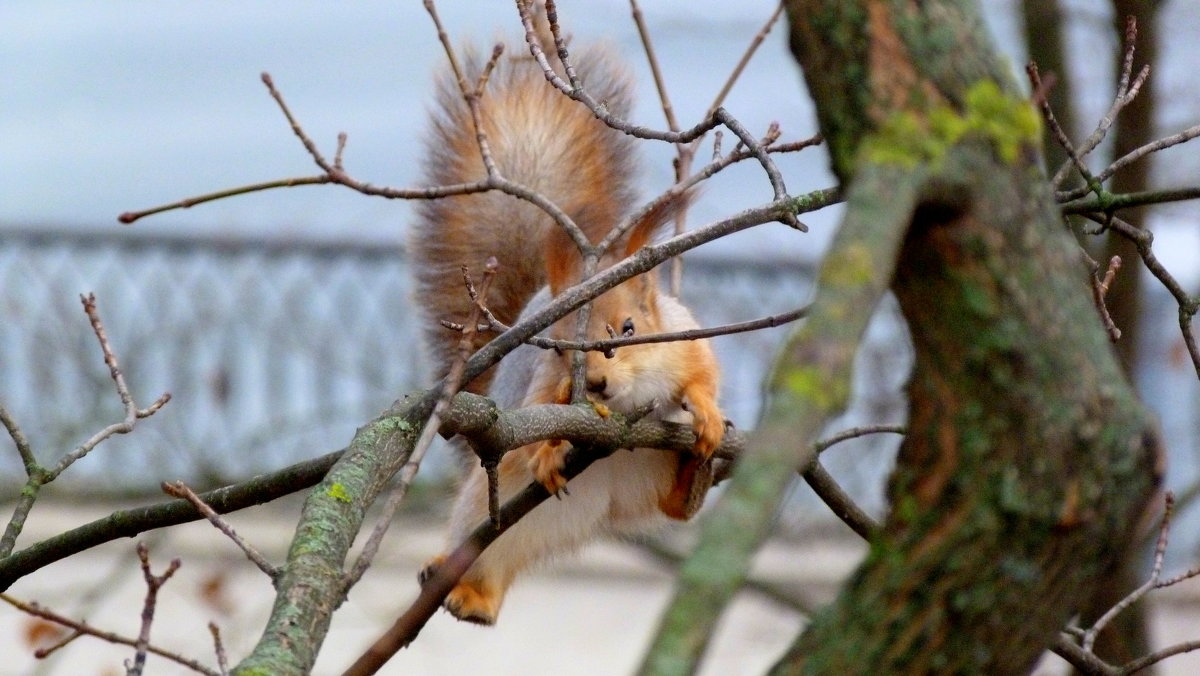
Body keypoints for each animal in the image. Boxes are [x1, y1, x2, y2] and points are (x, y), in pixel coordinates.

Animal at [408, 26, 724, 629]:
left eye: (631, 327)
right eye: (558, 348)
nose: (596, 383)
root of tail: (600, 510)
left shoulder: (682, 339)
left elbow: (703, 371)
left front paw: (708, 411)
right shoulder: (541, 387)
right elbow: (539, 419)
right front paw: (551, 449)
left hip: (647, 477)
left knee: (673, 510)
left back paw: (694, 477)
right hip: (487, 508)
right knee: (481, 546)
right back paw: (466, 592)